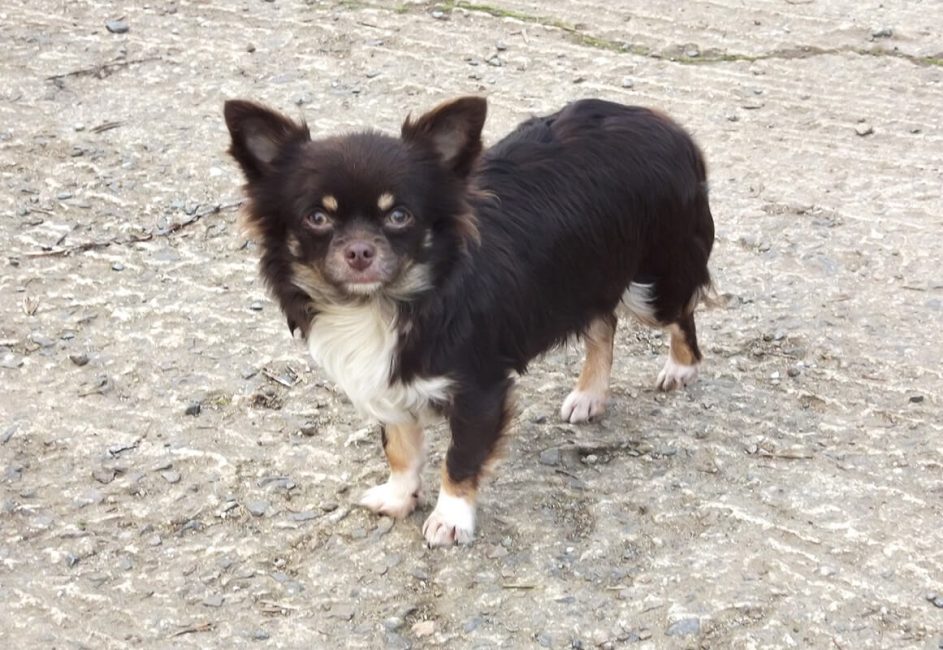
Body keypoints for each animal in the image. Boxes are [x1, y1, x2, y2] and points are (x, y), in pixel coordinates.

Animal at [223, 95, 716, 540]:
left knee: (682, 313)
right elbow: (399, 448)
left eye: (399, 215)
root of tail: (665, 123)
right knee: (603, 323)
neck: (390, 302)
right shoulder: (388, 381)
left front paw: (451, 517)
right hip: (588, 278)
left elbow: (459, 458)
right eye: (317, 218)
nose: (359, 251)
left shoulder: (479, 388)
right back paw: (590, 395)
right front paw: (400, 496)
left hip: (651, 286)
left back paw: (680, 367)